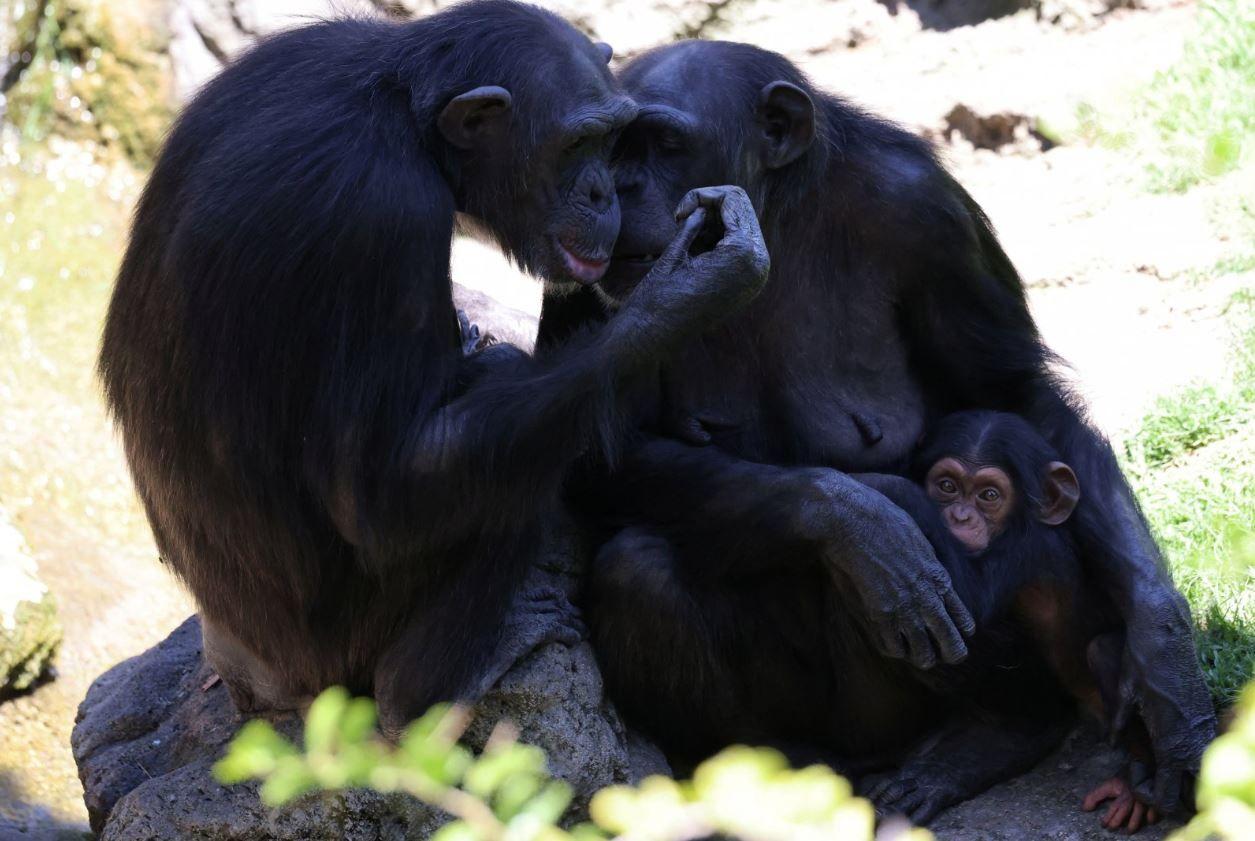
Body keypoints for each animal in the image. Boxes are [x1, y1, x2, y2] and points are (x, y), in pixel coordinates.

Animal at [97, 0, 768, 738]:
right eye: (576, 145)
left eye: (614, 139)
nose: (602, 192)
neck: (404, 114)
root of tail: (262, 686)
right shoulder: (386, 212)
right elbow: (382, 488)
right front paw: (682, 293)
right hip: (342, 653)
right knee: (510, 477)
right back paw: (430, 689)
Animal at [858, 411, 1159, 833]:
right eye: (947, 486)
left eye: (989, 495)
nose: (960, 516)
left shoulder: (1025, 549)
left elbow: (966, 598)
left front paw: (873, 488)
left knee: (1104, 653)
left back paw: (1136, 783)